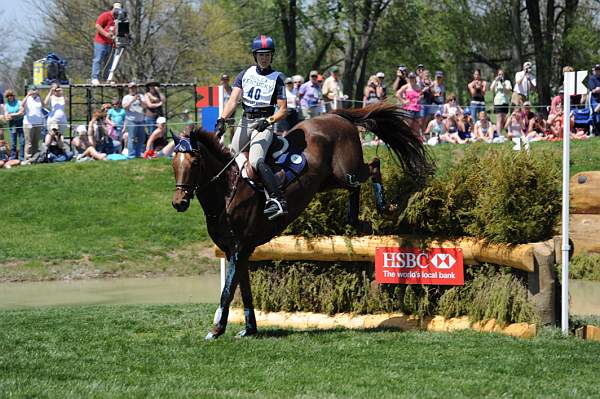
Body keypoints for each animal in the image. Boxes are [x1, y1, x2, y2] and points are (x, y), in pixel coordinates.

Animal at [171, 103, 434, 340]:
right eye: (174, 163)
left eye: (195, 163)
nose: (179, 203)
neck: (227, 191)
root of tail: (335, 115)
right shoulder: (239, 250)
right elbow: (243, 289)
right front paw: (249, 328)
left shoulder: (238, 248)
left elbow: (228, 290)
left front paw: (216, 329)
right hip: (329, 180)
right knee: (355, 185)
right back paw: (354, 219)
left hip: (345, 170)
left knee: (373, 166)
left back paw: (385, 207)